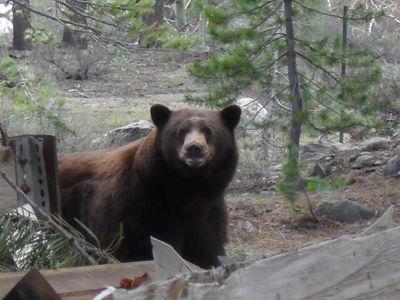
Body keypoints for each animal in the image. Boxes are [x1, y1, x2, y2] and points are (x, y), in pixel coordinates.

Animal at [58, 104, 241, 268]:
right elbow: (120, 245)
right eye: (181, 131)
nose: (194, 148)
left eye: (208, 131)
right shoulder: (131, 209)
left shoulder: (208, 216)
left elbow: (208, 250)